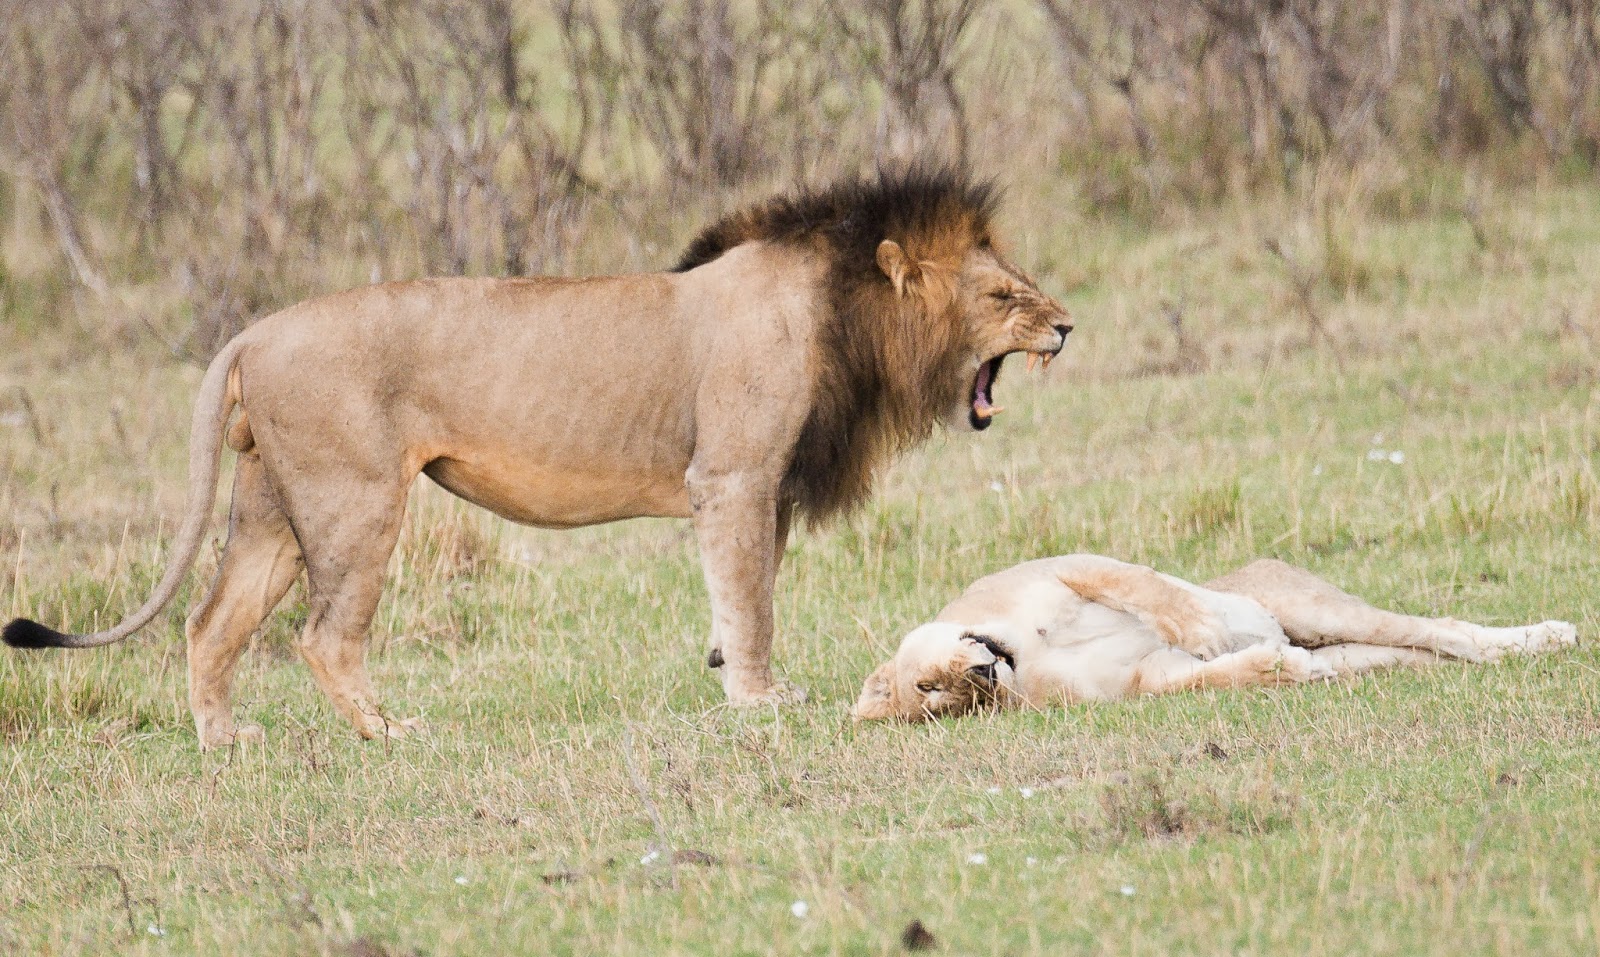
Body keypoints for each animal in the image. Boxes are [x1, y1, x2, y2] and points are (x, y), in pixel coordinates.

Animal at [4, 167, 1073, 749]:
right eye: (1003, 296)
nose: (1065, 325)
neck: (841, 316)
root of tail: (254, 330)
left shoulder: (758, 487)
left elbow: (747, 588)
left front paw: (726, 666)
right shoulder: (733, 475)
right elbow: (753, 597)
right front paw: (759, 698)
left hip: (272, 504)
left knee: (210, 621)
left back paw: (226, 740)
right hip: (355, 500)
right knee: (322, 636)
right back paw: (387, 732)